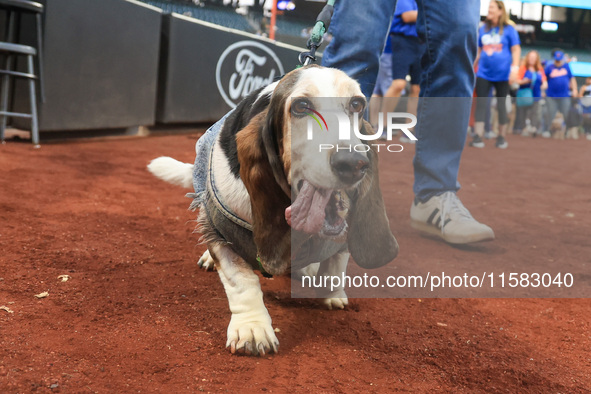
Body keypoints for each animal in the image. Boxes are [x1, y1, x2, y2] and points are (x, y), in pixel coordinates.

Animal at [149, 63, 398, 356]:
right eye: (301, 106)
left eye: (357, 104)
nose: (353, 163)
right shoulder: (224, 230)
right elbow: (242, 282)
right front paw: (252, 328)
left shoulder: (341, 239)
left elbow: (334, 266)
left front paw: (331, 293)